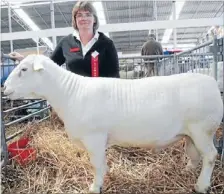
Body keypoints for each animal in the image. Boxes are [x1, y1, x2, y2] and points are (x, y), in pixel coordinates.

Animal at [2, 53, 223, 193]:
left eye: (23, 69)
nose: (4, 87)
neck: (69, 93)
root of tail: (212, 82)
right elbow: (100, 164)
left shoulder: (95, 138)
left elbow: (96, 165)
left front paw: (95, 187)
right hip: (191, 133)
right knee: (195, 154)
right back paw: (188, 171)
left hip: (203, 129)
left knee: (211, 156)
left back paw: (201, 186)